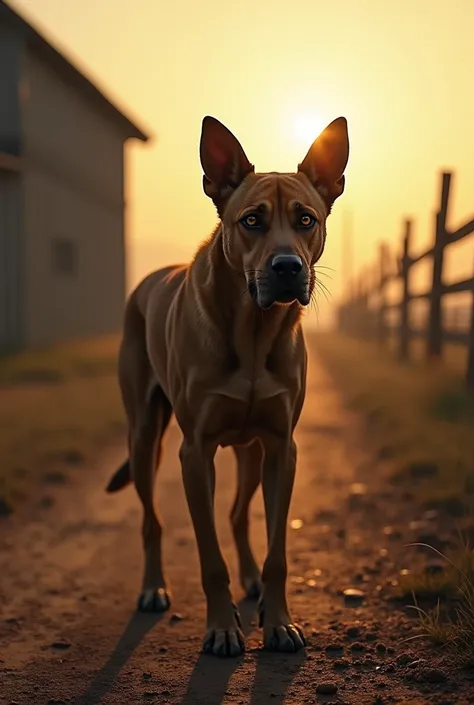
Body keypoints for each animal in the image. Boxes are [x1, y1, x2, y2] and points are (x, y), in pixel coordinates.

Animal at [106, 115, 348, 656]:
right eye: (251, 221)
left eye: (306, 220)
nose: (287, 268)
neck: (254, 332)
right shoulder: (194, 453)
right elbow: (208, 555)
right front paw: (220, 626)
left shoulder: (281, 447)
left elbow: (277, 549)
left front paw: (278, 620)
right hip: (144, 438)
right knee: (151, 520)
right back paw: (152, 588)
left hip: (249, 450)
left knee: (238, 514)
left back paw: (251, 578)